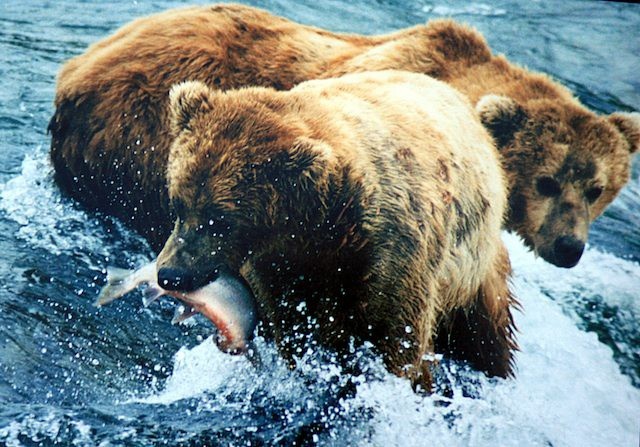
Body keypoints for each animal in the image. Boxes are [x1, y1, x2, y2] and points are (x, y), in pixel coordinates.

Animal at [153, 71, 517, 391]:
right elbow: (293, 329)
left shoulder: (393, 254)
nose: (170, 273)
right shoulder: (284, 269)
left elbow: (397, 339)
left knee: (489, 337)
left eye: (221, 219)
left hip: (474, 272)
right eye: (177, 204)